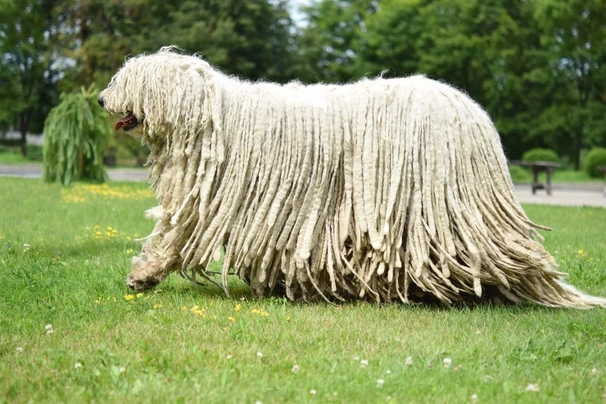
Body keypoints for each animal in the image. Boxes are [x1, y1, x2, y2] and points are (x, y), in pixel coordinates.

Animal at [100, 47, 606, 308]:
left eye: (127, 78)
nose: (103, 99)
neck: (212, 117)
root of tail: (473, 114)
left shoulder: (207, 198)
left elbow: (173, 233)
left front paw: (142, 275)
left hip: (438, 206)